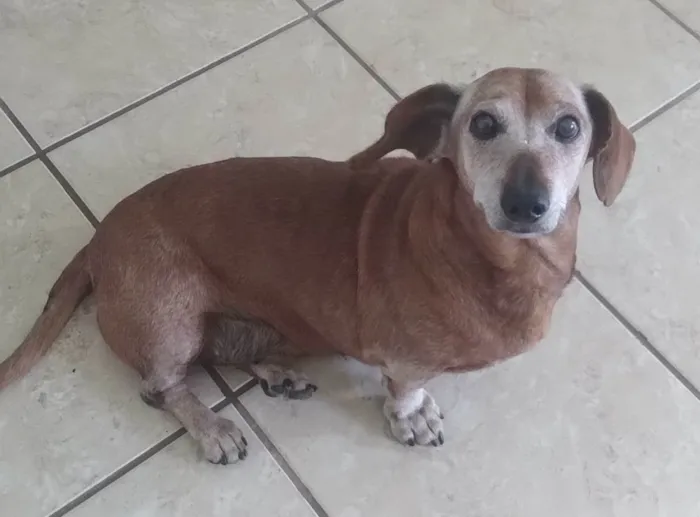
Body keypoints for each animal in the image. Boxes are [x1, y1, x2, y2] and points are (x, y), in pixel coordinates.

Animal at [0, 67, 636, 464]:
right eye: (482, 124)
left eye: (569, 126)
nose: (527, 202)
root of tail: (98, 241)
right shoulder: (405, 359)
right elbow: (406, 388)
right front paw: (411, 417)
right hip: (170, 319)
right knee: (162, 387)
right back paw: (213, 427)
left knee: (221, 354)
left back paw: (274, 372)